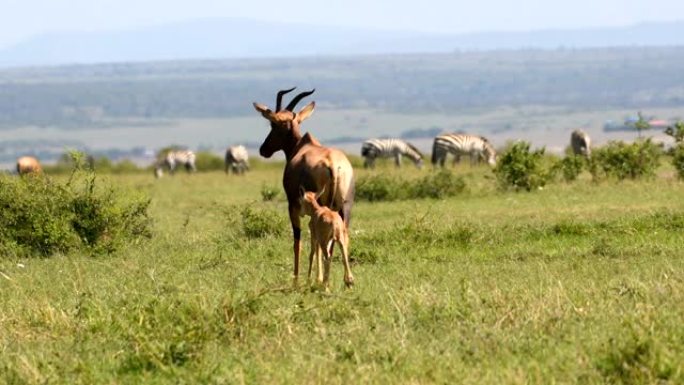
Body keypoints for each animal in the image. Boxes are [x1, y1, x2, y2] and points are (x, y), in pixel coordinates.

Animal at [254, 88, 356, 284]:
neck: (303, 146)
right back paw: (346, 280)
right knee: (342, 238)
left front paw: (297, 279)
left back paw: (324, 280)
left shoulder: (293, 207)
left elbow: (298, 242)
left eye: (273, 125)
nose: (263, 150)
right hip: (345, 208)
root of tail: (333, 165)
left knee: (324, 244)